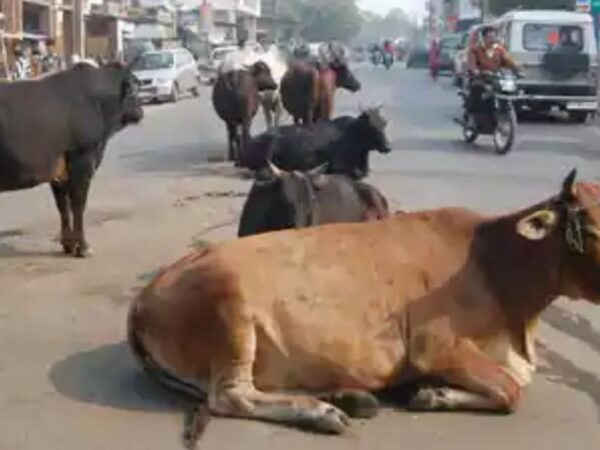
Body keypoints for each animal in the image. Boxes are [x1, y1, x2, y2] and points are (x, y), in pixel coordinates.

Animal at [0, 62, 143, 257]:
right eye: (134, 88)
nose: (140, 112)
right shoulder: (83, 157)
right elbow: (78, 203)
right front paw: (83, 246)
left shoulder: (59, 169)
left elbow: (63, 205)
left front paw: (68, 244)